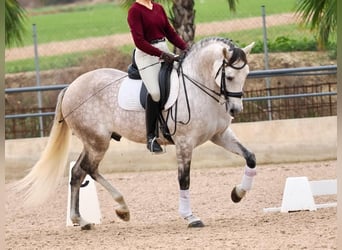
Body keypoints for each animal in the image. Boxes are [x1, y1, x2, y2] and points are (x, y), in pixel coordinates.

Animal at [16, 36, 256, 229]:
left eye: (246, 74)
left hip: (92, 142)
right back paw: (121, 208)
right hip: (98, 142)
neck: (199, 86)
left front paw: (238, 193)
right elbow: (184, 180)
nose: (235, 110)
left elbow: (250, 157)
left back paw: (82, 220)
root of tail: (70, 87)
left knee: (77, 172)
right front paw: (190, 217)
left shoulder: (220, 135)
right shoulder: (184, 143)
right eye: (230, 77)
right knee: (89, 169)